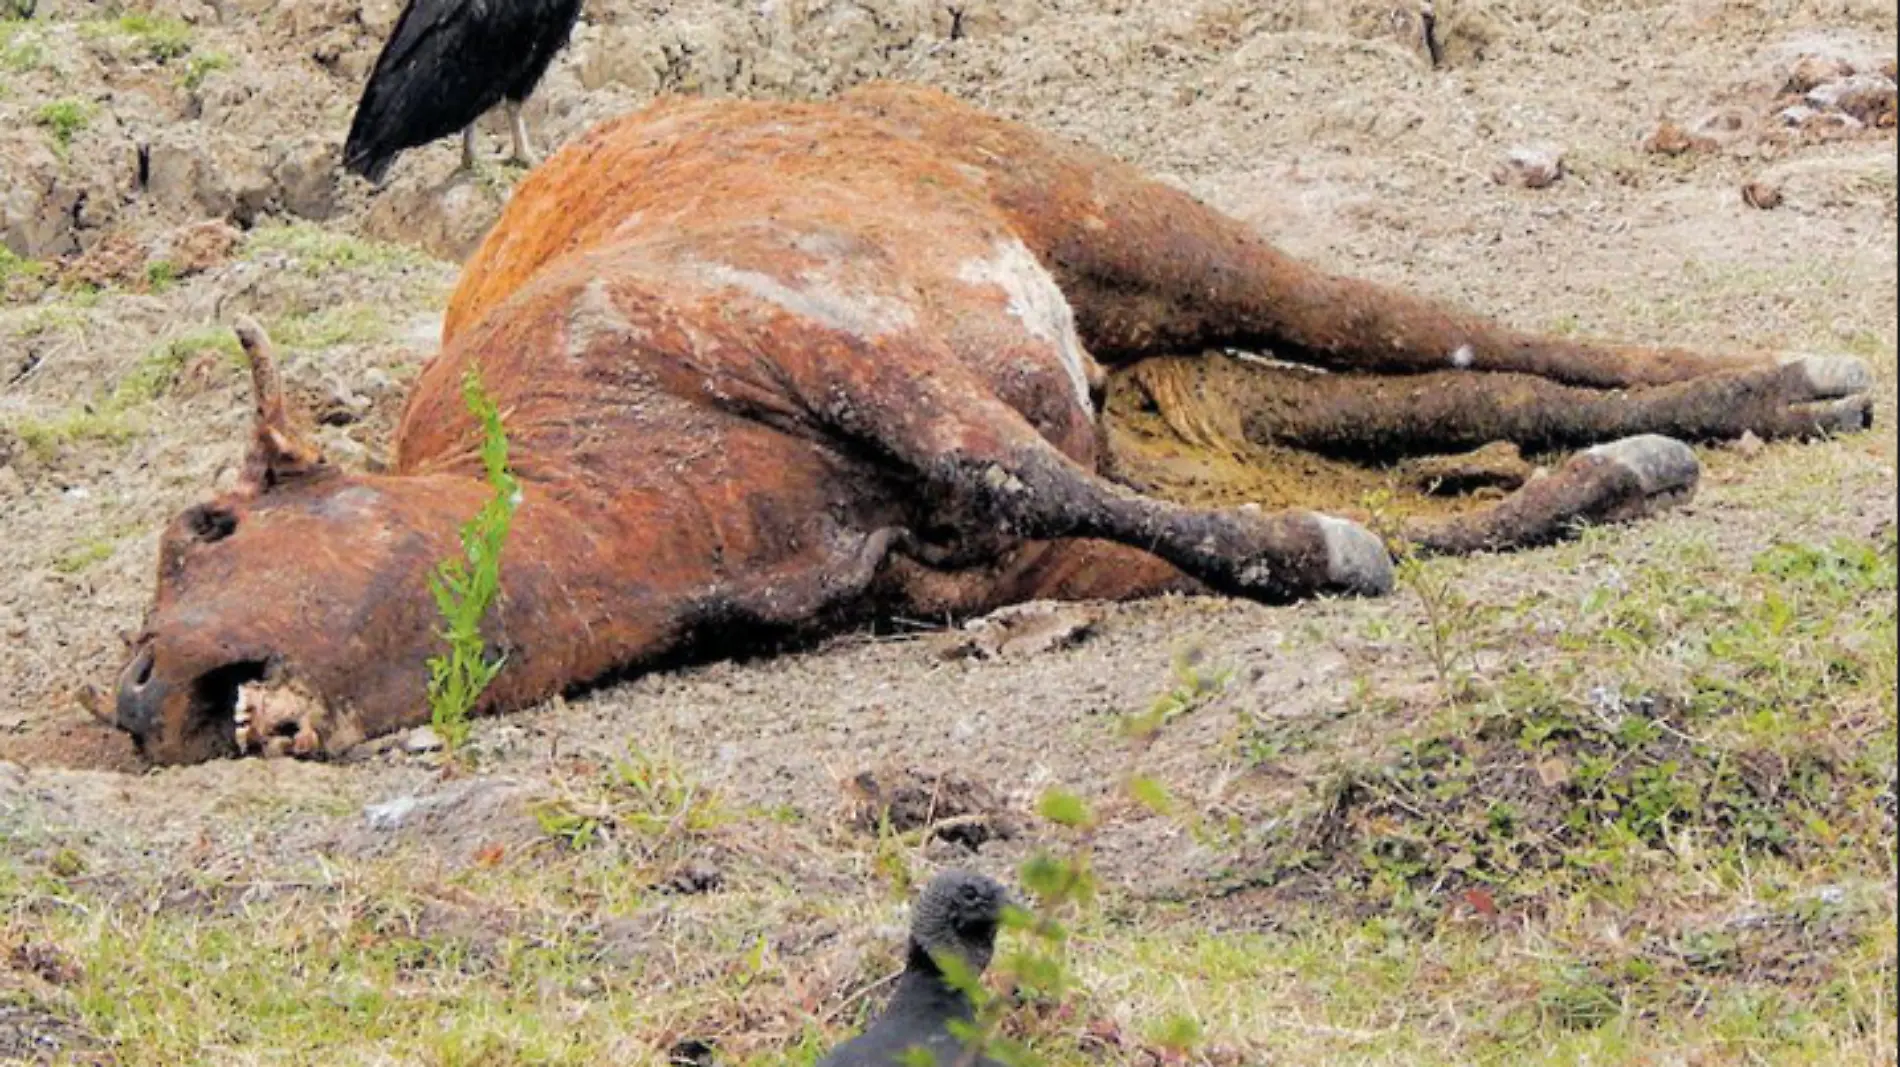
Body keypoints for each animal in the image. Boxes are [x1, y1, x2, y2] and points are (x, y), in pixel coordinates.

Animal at [104, 84, 1869, 763]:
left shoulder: (815, 344)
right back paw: (1677, 420)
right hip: (1154, 374)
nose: (133, 693)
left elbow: (1000, 458)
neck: (627, 498)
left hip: (1118, 220)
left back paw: (1791, 380)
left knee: (1405, 315)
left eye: (210, 521)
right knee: (1412, 388)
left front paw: (1353, 543)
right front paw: (1585, 484)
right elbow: (1283, 543)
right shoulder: (979, 569)